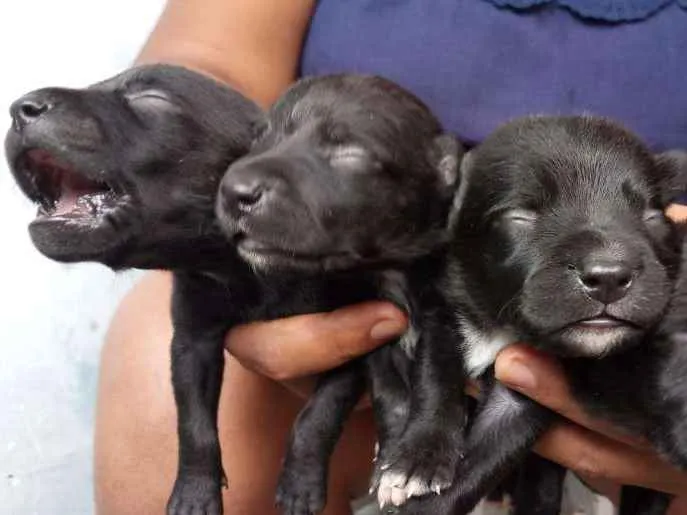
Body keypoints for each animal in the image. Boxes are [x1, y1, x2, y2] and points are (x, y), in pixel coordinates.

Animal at [400, 116, 687, 515]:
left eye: (652, 216)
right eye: (520, 216)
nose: (609, 276)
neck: (503, 327)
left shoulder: (525, 396)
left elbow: (484, 458)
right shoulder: (446, 308)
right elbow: (435, 374)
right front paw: (418, 460)